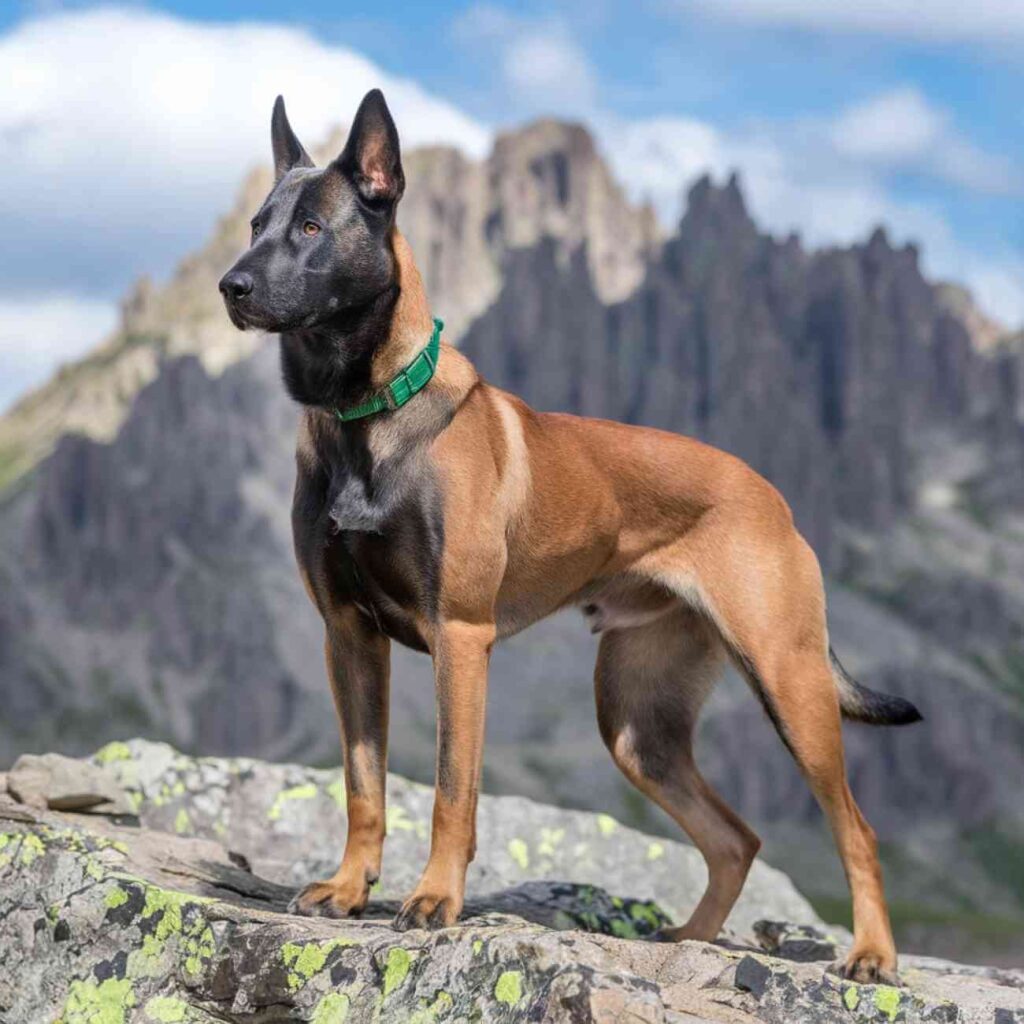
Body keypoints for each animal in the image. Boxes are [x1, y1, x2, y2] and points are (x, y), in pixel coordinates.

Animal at [220, 90, 925, 983]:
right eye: (256, 224)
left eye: (312, 226)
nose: (231, 286)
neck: (366, 416)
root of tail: (775, 500)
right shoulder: (348, 637)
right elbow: (363, 782)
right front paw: (349, 890)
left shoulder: (460, 638)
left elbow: (451, 788)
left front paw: (434, 900)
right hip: (637, 728)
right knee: (736, 838)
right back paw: (691, 942)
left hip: (788, 684)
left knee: (854, 828)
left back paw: (871, 955)